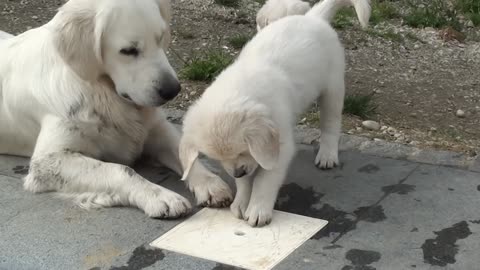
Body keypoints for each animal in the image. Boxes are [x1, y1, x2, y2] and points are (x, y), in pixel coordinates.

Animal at [0, 0, 232, 218]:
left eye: (160, 38)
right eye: (128, 51)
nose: (173, 90)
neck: (101, 89)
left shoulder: (157, 129)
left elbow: (185, 152)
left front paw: (209, 182)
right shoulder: (47, 161)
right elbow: (121, 169)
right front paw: (159, 196)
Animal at [180, 0, 372, 227]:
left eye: (242, 150)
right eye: (217, 158)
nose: (238, 172)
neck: (239, 90)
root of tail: (313, 17)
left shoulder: (278, 147)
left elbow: (265, 179)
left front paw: (258, 209)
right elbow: (247, 180)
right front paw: (241, 201)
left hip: (332, 88)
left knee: (331, 123)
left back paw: (327, 154)